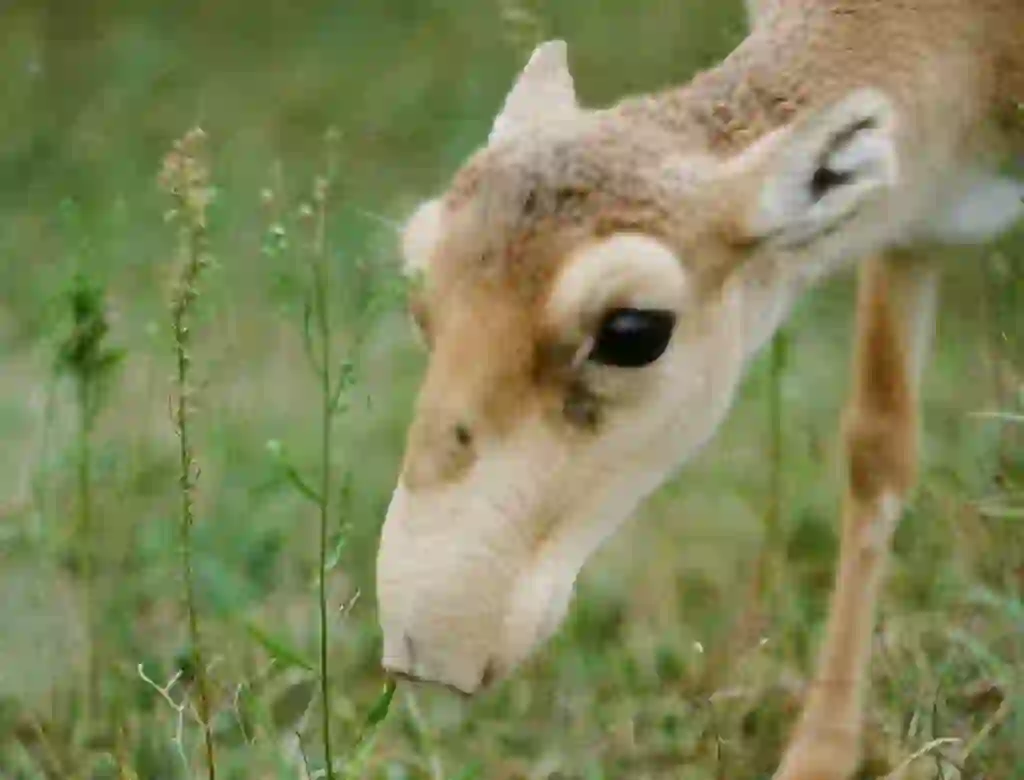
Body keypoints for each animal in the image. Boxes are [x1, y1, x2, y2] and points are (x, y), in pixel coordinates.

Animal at [376, 1, 1024, 773]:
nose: (428, 644)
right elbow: (878, 448)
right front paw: (820, 753)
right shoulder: (915, 214)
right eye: (419, 289)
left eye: (632, 329)